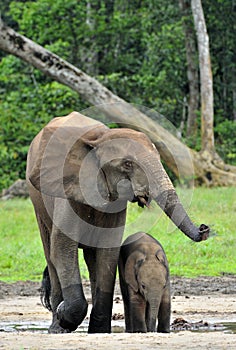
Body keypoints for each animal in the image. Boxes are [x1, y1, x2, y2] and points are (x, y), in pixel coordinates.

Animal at [25, 111, 208, 334]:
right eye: (127, 164)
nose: (204, 228)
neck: (99, 139)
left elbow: (108, 251)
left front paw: (99, 331)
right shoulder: (67, 188)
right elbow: (62, 247)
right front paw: (63, 316)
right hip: (38, 202)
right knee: (50, 254)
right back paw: (56, 328)